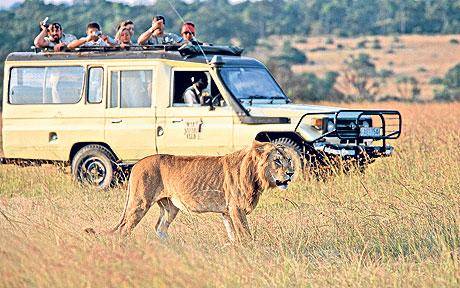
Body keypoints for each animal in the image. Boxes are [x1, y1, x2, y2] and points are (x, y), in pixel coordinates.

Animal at [109, 141, 294, 242]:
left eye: (289, 160)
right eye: (277, 161)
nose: (291, 173)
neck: (255, 175)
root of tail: (136, 165)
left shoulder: (227, 212)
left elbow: (233, 235)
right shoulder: (236, 208)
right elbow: (245, 234)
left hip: (170, 207)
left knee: (160, 228)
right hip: (140, 202)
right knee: (124, 229)